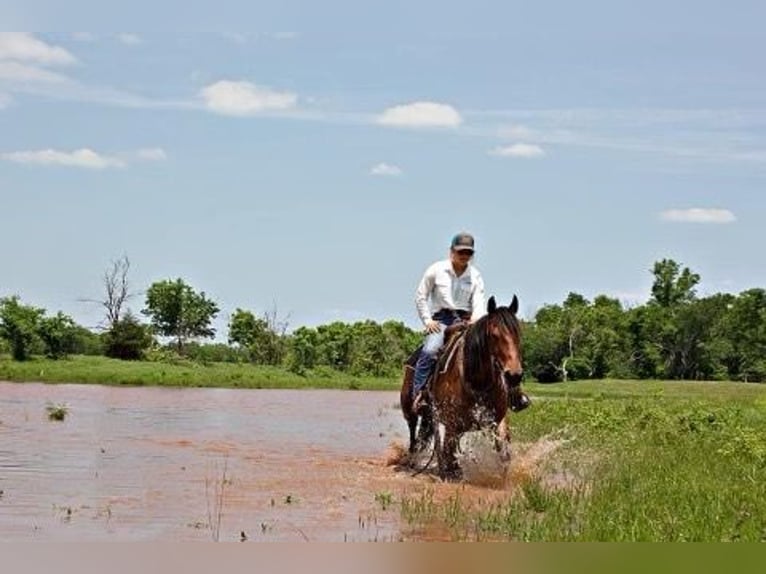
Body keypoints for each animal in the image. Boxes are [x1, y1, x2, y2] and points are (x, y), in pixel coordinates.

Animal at [402, 296, 528, 482]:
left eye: (518, 333)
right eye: (494, 335)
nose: (514, 375)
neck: (477, 381)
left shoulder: (497, 421)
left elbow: (504, 456)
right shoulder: (451, 424)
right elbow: (449, 457)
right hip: (410, 410)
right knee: (413, 434)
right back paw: (411, 459)